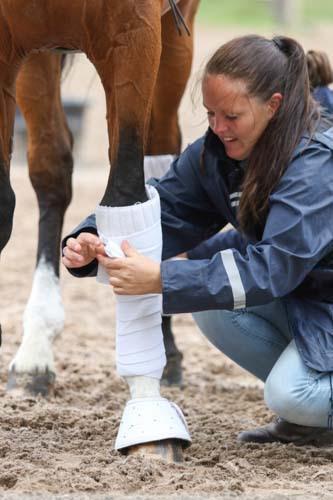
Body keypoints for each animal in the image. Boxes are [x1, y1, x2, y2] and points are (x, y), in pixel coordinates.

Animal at [0, 0, 197, 460]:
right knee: (51, 169)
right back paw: (35, 355)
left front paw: (148, 416)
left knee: (159, 152)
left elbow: (126, 192)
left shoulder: (133, 32)